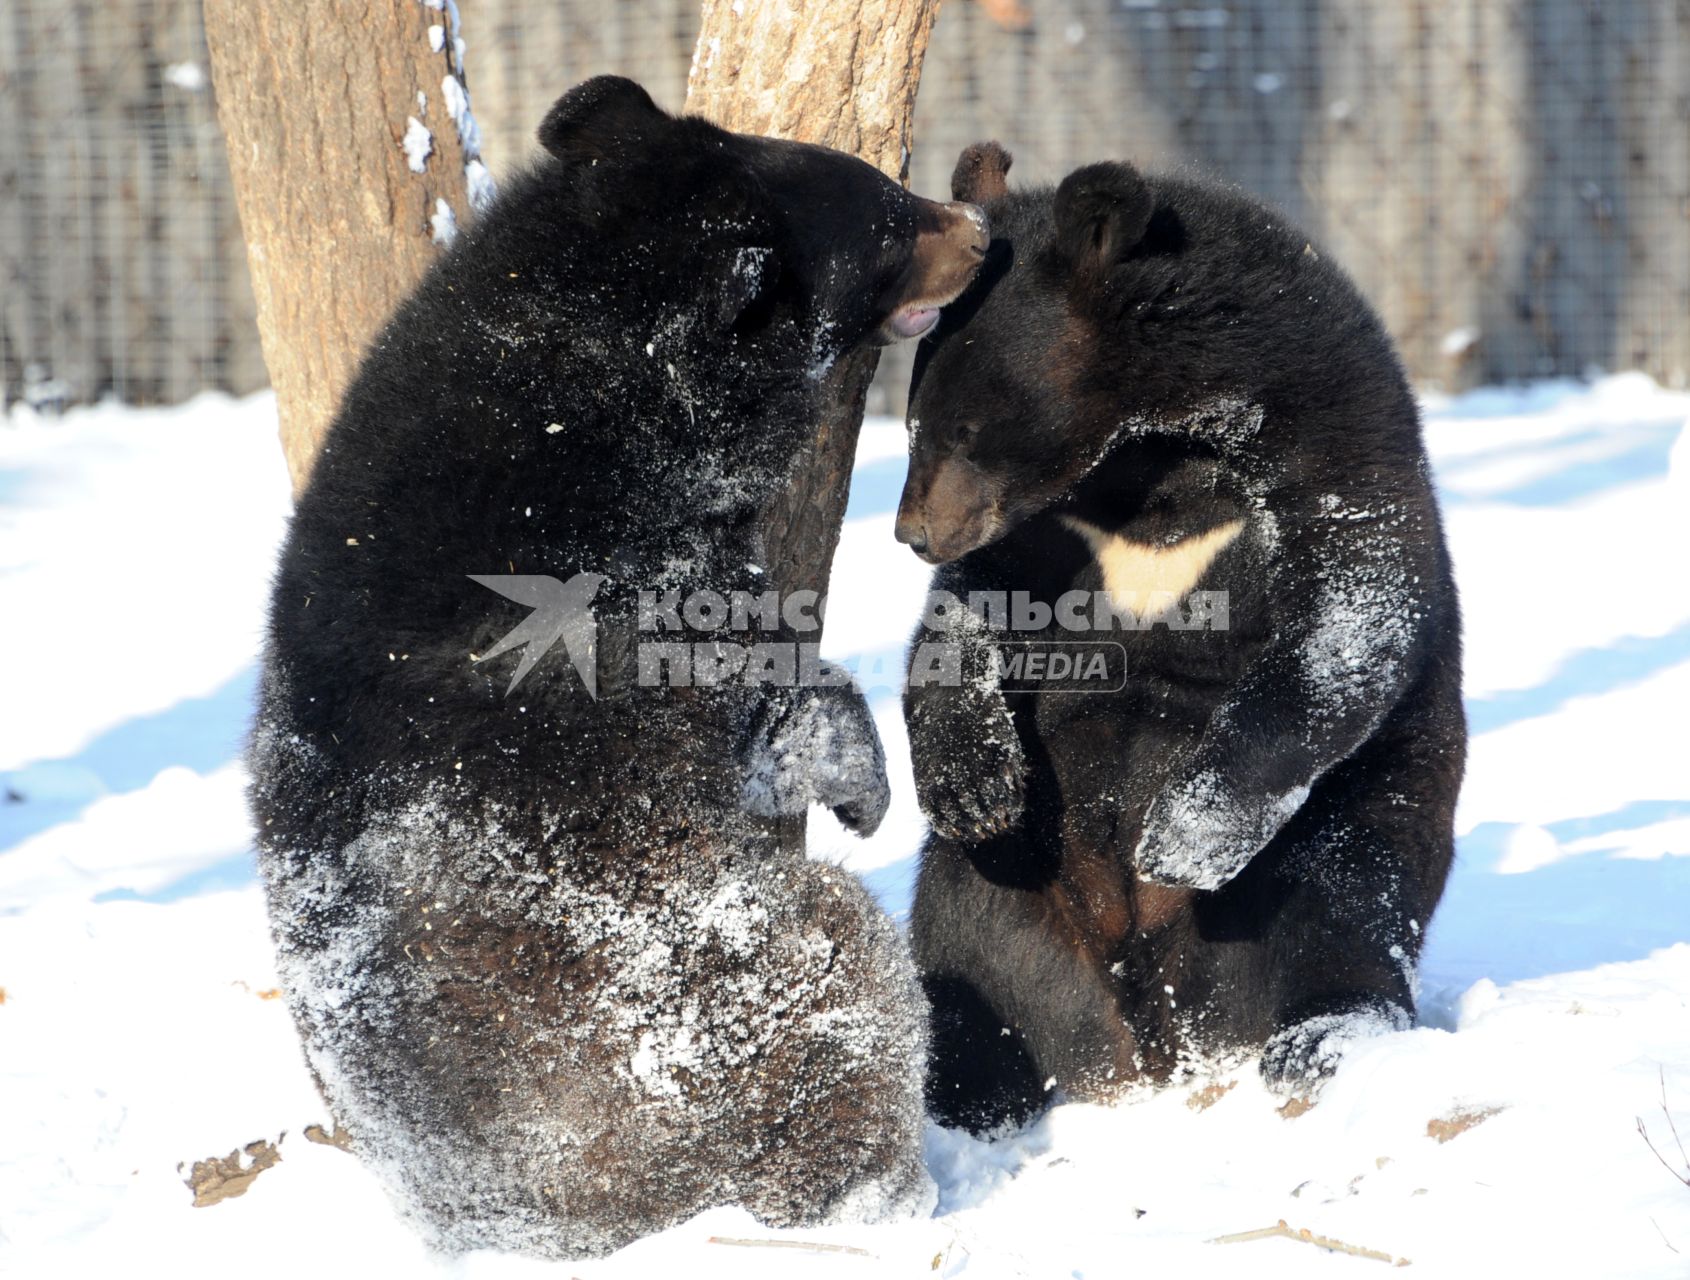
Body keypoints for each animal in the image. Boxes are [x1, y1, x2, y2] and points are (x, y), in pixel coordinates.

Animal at [250, 79, 986, 1258]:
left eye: (884, 184)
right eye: (886, 222)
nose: (978, 228)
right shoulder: (616, 596)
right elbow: (759, 691)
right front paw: (862, 781)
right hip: (726, 1013)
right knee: (843, 991)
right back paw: (880, 1195)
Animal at [899, 144, 1466, 1136]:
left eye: (967, 427)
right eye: (912, 417)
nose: (913, 532)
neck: (1152, 459)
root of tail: (1156, 1032)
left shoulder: (1329, 434)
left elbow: (1354, 605)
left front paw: (1182, 832)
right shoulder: (1050, 531)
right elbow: (968, 611)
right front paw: (970, 778)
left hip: (1349, 823)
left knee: (1343, 911)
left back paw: (1318, 1042)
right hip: (1019, 894)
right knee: (972, 956)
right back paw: (965, 1088)